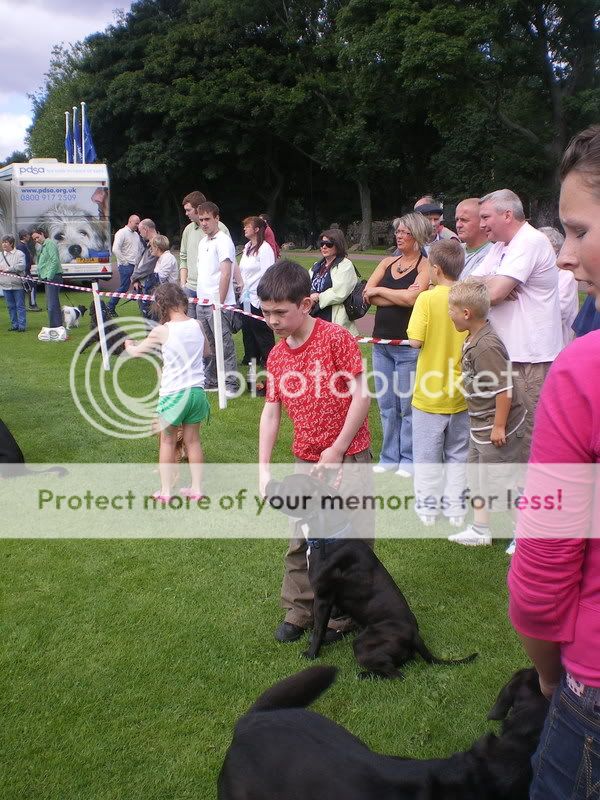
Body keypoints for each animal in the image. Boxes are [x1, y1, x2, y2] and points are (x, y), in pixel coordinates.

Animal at [264, 476, 476, 680]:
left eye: (288, 485)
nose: (270, 482)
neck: (330, 533)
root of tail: (415, 636)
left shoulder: (322, 598)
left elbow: (318, 630)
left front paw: (311, 654)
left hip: (363, 643)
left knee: (396, 674)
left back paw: (365, 675)